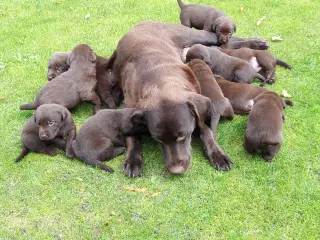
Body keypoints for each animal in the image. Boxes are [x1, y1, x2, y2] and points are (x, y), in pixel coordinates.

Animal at [109, 20, 234, 176]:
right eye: (158, 139)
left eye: (182, 136)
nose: (176, 171)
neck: (161, 78)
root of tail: (144, 22)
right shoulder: (129, 106)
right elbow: (132, 135)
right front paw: (133, 160)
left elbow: (206, 130)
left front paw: (218, 154)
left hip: (194, 35)